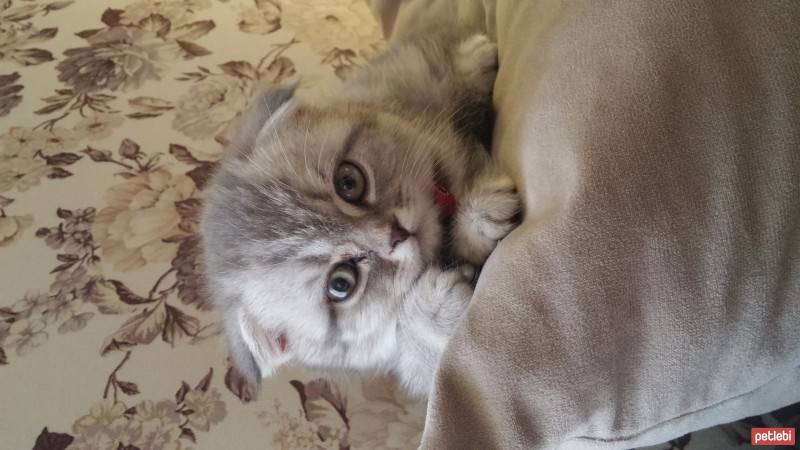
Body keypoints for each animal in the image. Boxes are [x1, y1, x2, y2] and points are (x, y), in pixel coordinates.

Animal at [202, 31, 520, 398]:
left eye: (348, 182)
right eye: (341, 284)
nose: (397, 234)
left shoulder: (388, 90)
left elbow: (425, 69)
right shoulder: (414, 369)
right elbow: (427, 360)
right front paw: (429, 312)